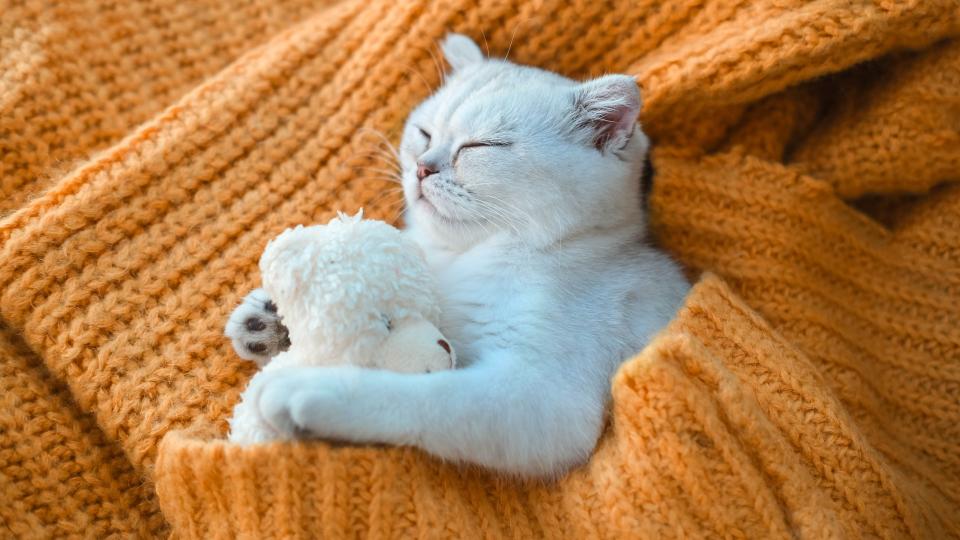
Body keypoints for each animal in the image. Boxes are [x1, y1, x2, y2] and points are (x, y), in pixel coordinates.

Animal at [240, 34, 688, 476]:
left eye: (481, 146)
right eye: (424, 134)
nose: (422, 168)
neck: (464, 257)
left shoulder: (541, 397)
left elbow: (424, 395)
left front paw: (309, 388)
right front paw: (270, 320)